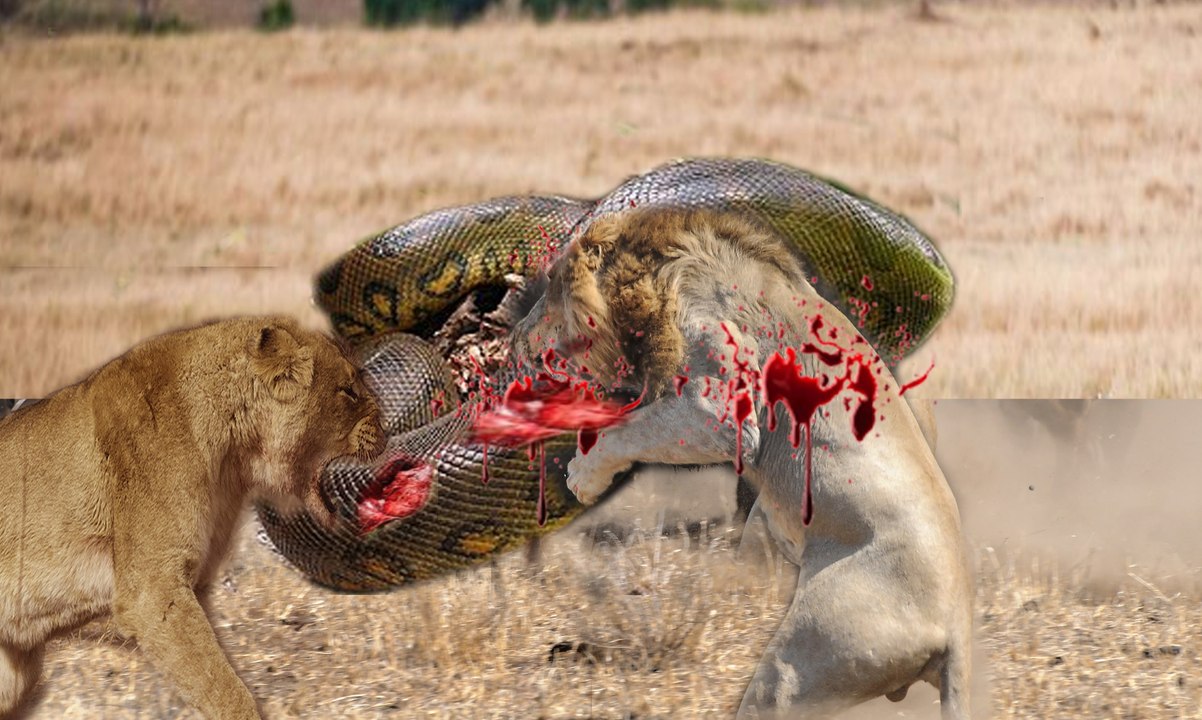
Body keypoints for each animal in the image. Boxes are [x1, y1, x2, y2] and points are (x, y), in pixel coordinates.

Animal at [513, 208, 973, 719]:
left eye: (552, 288)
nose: (514, 338)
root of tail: (956, 627)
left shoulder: (717, 410)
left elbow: (627, 430)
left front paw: (582, 474)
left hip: (797, 661)